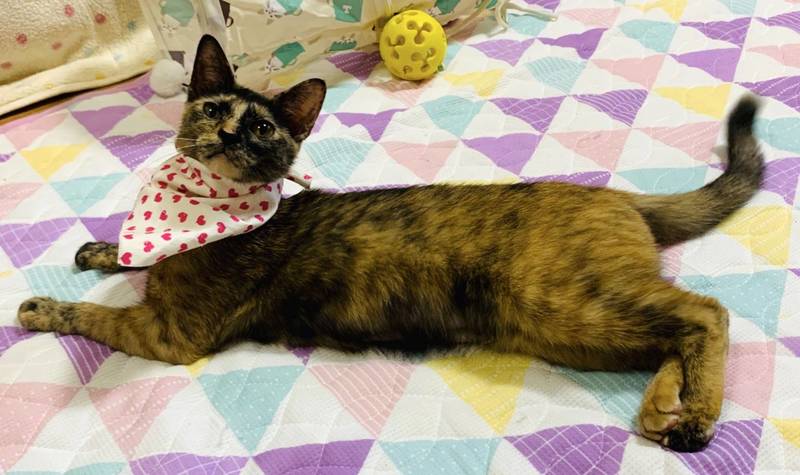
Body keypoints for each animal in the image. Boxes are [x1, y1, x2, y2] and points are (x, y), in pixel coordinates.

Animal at [18, 35, 765, 453]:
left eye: (262, 128)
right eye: (212, 108)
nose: (228, 135)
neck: (199, 207)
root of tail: (617, 196)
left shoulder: (170, 333)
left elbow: (97, 315)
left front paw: (42, 308)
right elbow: (126, 259)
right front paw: (102, 251)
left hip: (567, 305)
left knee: (706, 312)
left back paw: (695, 417)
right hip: (570, 328)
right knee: (676, 333)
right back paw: (663, 405)